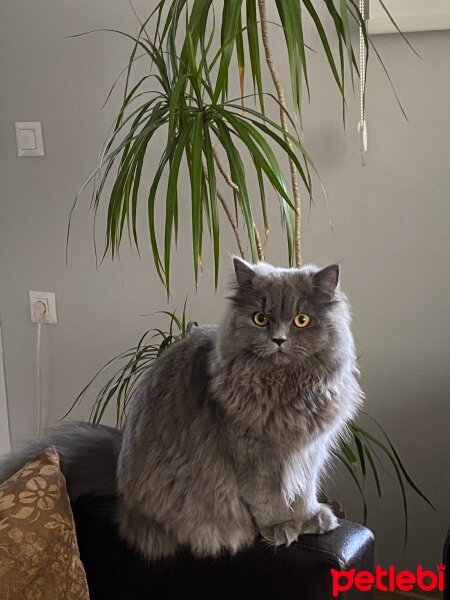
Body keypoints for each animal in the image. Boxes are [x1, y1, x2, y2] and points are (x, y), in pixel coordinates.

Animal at [0, 258, 362, 564]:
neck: (285, 387)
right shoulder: (255, 456)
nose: (279, 340)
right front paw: (281, 526)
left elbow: (302, 489)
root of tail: (120, 481)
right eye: (261, 318)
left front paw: (310, 517)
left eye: (302, 320)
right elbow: (268, 498)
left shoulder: (308, 451)